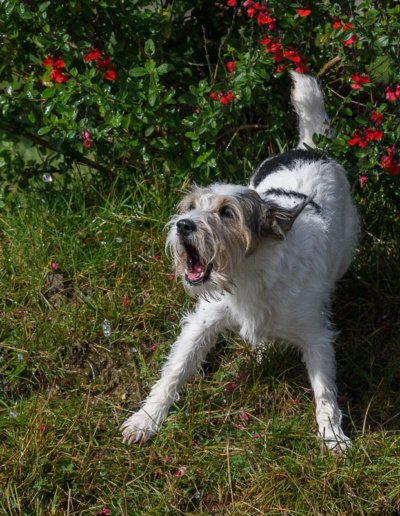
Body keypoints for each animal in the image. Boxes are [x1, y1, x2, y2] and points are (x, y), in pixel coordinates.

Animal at [121, 72, 360, 452]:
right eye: (191, 207)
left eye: (227, 212)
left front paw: (334, 436)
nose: (182, 225)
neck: (248, 276)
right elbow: (176, 369)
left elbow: (324, 392)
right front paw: (146, 419)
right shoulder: (203, 320)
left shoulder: (317, 336)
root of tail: (308, 149)